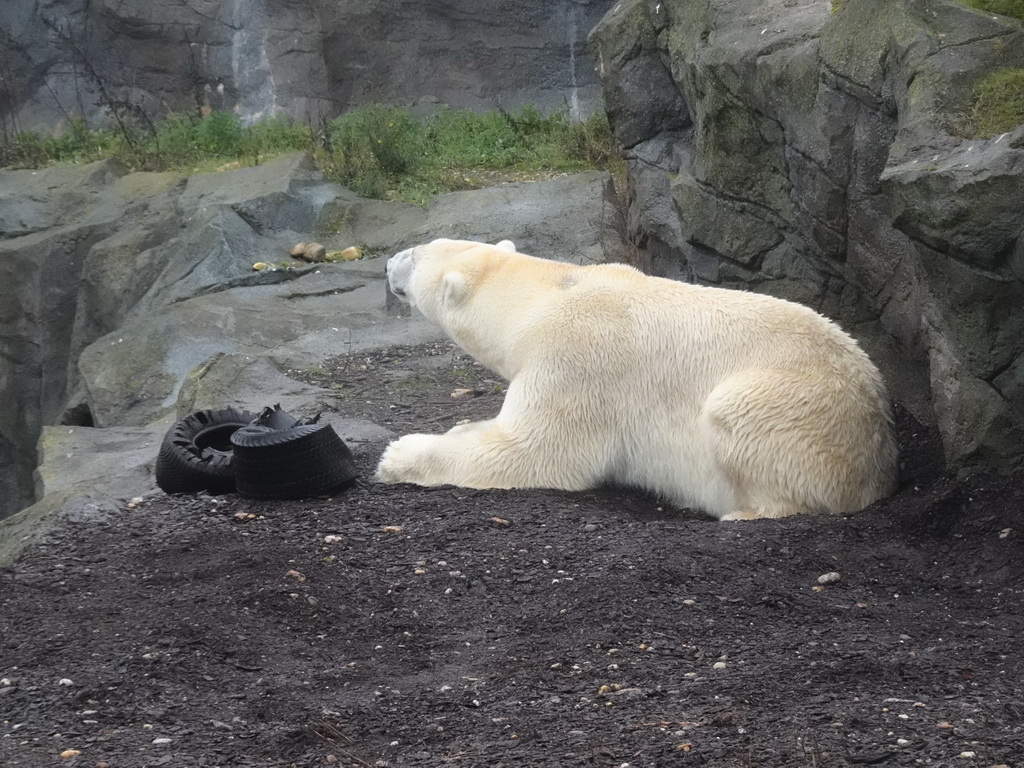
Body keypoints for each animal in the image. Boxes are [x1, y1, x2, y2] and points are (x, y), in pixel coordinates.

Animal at [376, 237, 897, 520]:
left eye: (416, 256)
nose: (388, 261)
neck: (550, 294)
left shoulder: (576, 361)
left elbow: (533, 452)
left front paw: (397, 456)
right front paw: (461, 427)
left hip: (795, 410)